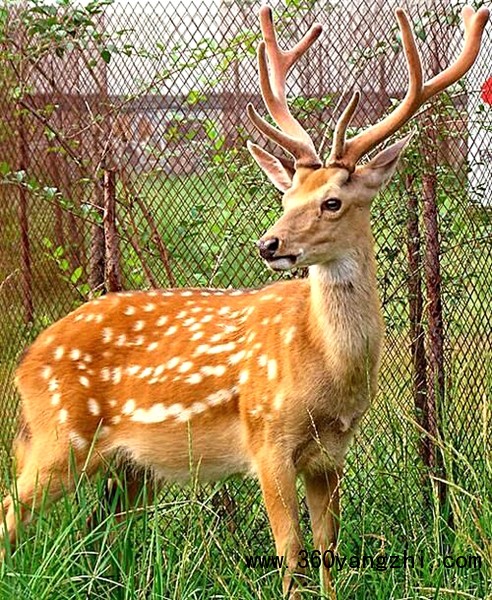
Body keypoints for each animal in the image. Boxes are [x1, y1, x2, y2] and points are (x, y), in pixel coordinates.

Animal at [0, 4, 488, 600]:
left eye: (332, 201)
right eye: (286, 195)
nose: (269, 244)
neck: (326, 367)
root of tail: (25, 362)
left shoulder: (332, 453)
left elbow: (328, 548)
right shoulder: (266, 436)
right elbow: (290, 550)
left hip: (131, 467)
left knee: (100, 531)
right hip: (58, 437)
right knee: (11, 513)